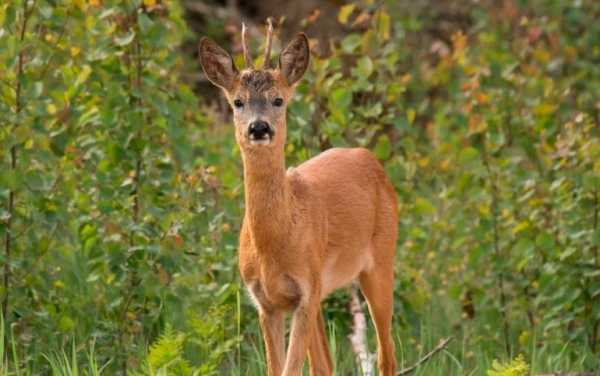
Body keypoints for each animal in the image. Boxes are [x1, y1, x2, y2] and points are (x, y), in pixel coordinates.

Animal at [199, 22, 398, 374]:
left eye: (278, 100)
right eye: (237, 102)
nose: (259, 127)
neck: (274, 244)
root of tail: (371, 160)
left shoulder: (305, 292)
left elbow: (290, 369)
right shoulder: (266, 302)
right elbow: (277, 368)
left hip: (380, 260)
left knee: (387, 353)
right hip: (322, 293)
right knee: (325, 364)